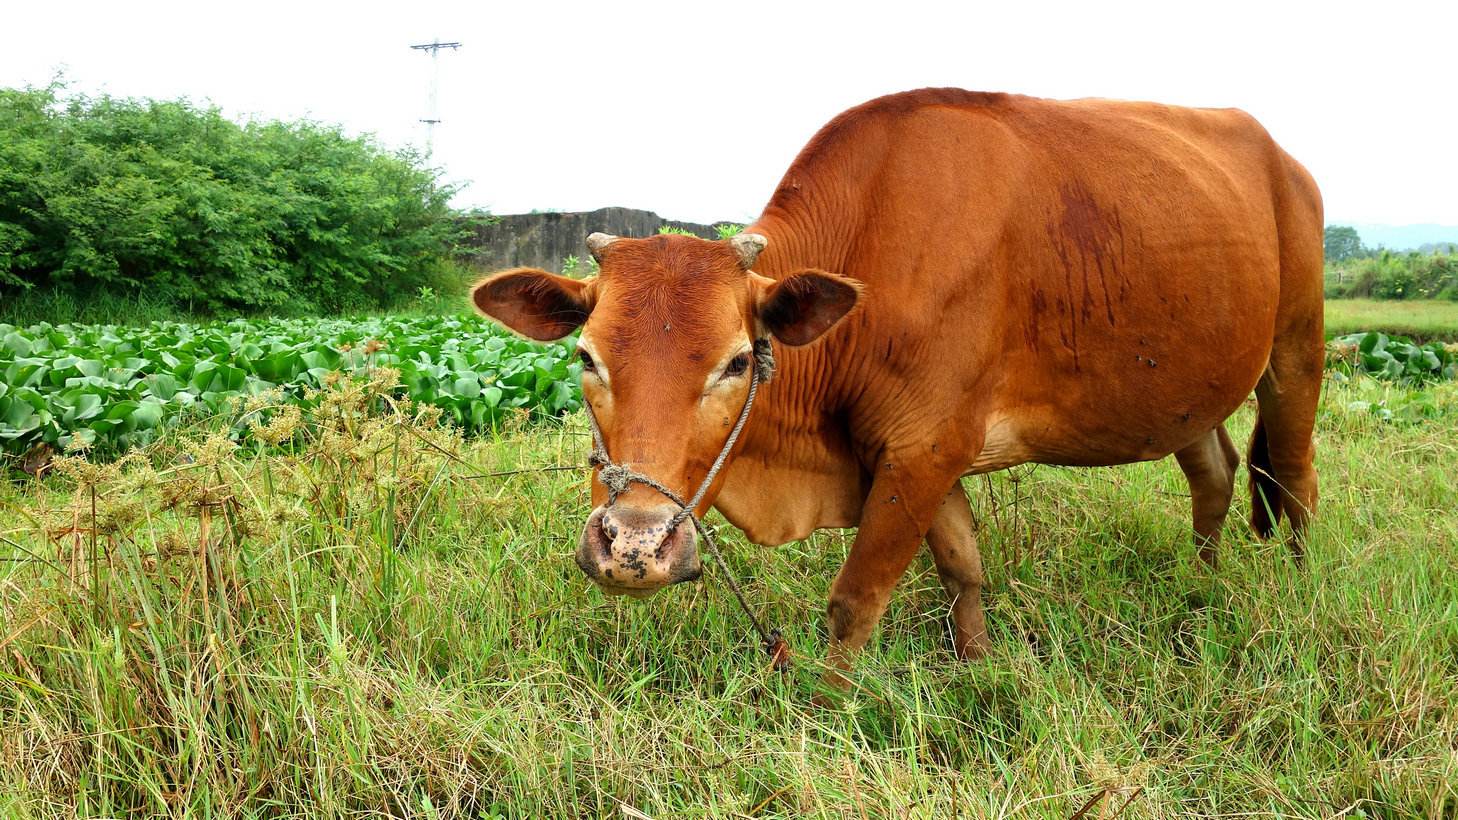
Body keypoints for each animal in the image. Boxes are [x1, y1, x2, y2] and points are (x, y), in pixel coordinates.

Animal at [469, 86, 1323, 679]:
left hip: (1296, 353)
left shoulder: (923, 450)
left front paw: (822, 713)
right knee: (1214, 473)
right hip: (1188, 393)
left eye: (737, 361)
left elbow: (854, 603)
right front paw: (978, 674)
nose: (635, 547)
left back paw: (1297, 586)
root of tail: (1287, 161)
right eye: (586, 358)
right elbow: (963, 574)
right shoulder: (913, 455)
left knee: (1296, 480)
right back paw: (1201, 585)